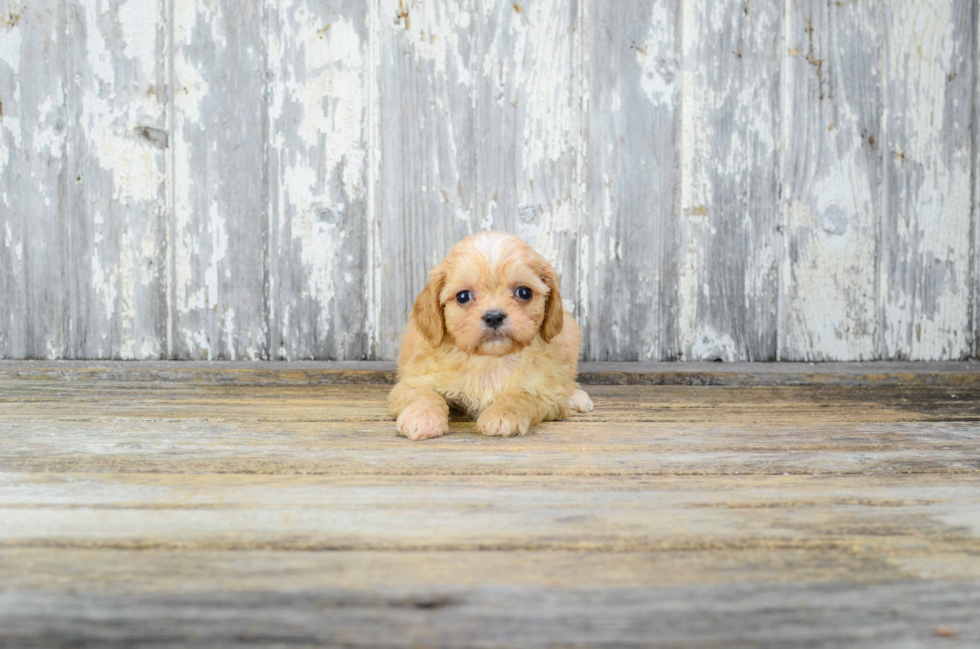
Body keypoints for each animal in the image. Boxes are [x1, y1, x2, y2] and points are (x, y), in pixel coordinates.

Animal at [388, 232, 588, 440]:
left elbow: (522, 395)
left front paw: (501, 416)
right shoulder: (413, 381)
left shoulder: (548, 393)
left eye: (524, 292)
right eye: (463, 296)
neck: (490, 360)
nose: (494, 317)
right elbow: (425, 394)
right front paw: (422, 418)